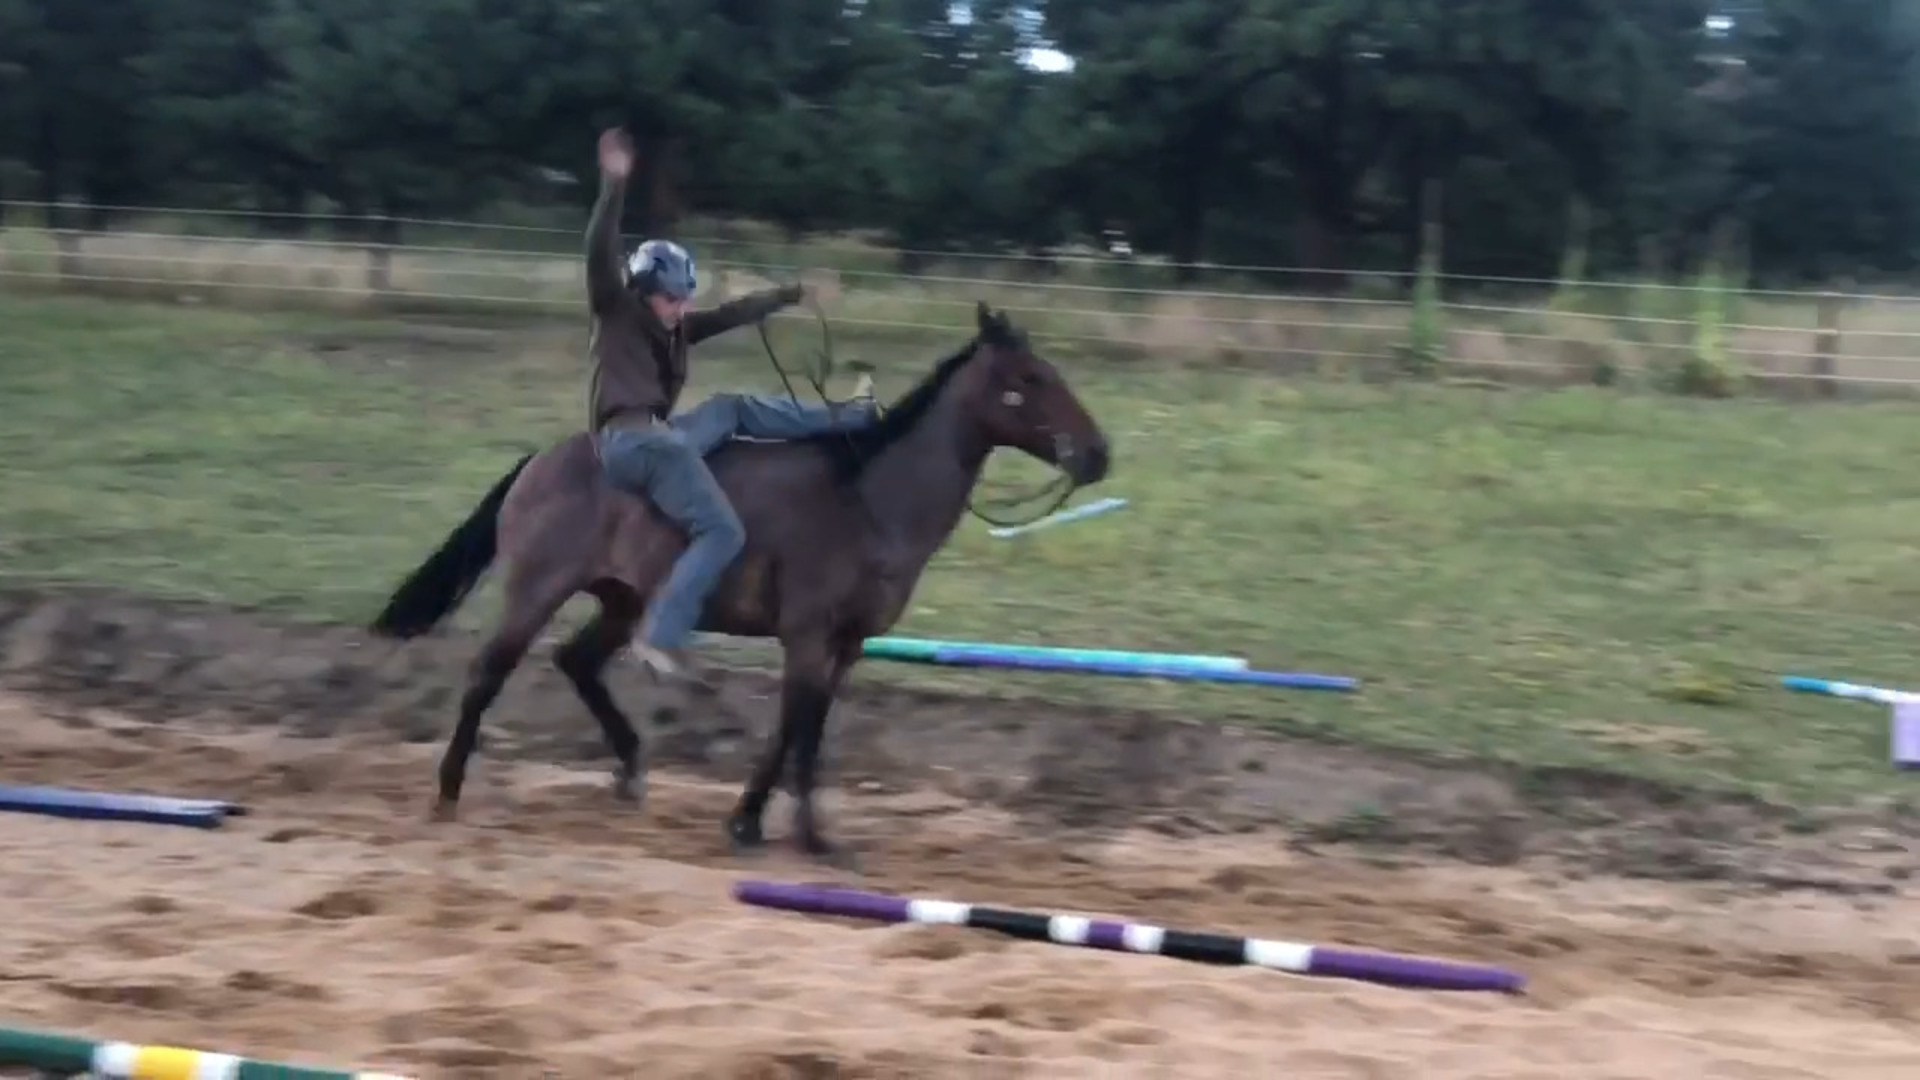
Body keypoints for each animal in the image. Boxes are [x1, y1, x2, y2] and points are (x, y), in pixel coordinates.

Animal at [366, 301, 1111, 864]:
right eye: (1029, 377)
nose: (1097, 454)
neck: (868, 499)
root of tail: (543, 461)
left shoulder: (846, 645)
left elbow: (798, 727)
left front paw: (748, 821)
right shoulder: (809, 635)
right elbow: (803, 732)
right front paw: (812, 837)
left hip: (622, 600)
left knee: (576, 662)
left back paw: (631, 769)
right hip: (535, 590)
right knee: (486, 676)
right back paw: (449, 790)